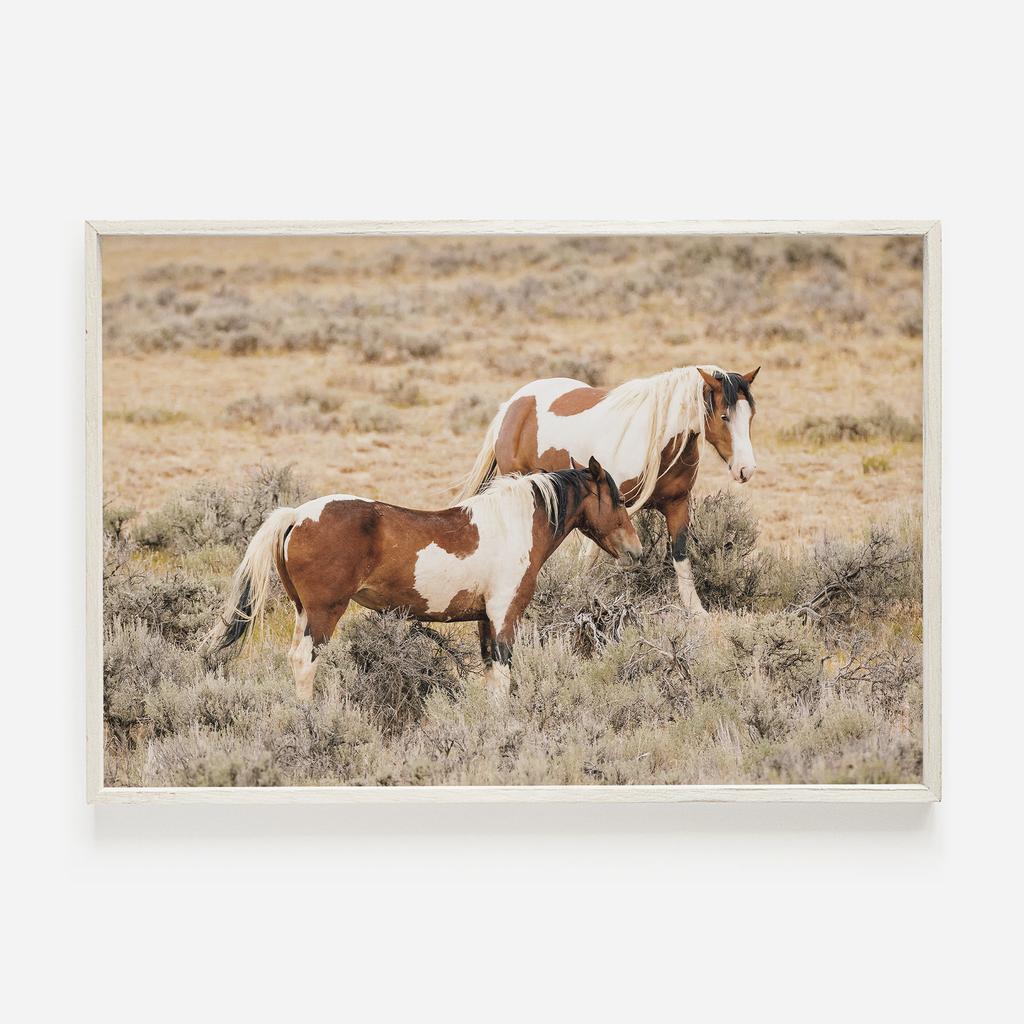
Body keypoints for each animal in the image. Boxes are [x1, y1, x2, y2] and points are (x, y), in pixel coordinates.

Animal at [208, 458, 642, 700]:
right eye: (620, 500)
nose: (636, 551)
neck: (513, 524)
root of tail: (297, 514)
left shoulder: (485, 620)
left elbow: (490, 675)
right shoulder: (505, 615)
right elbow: (503, 675)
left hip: (303, 612)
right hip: (324, 613)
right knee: (304, 661)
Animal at [458, 364, 760, 615]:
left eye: (751, 416)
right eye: (724, 416)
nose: (746, 469)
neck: (656, 440)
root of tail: (513, 404)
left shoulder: (677, 505)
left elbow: (680, 555)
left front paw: (696, 611)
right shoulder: (609, 505)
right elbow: (591, 555)